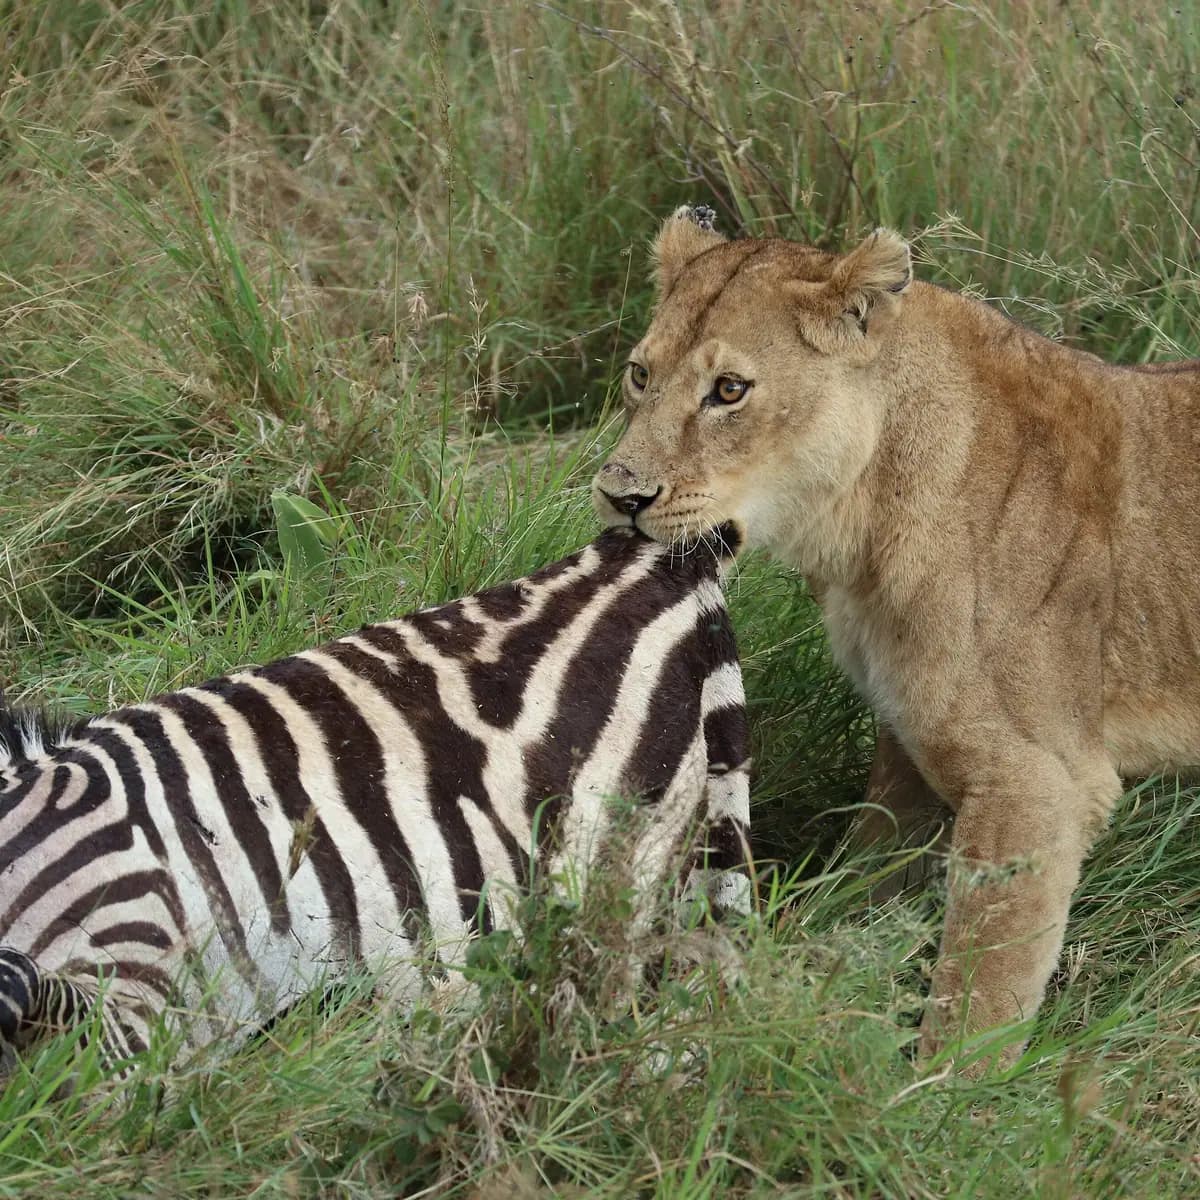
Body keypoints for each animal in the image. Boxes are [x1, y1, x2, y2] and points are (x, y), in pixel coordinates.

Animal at [592, 204, 1200, 1070]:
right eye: (641, 375)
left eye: (729, 391)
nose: (620, 496)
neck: (860, 532)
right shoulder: (908, 741)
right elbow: (867, 881)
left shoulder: (1039, 781)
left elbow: (979, 988)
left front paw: (944, 1095)